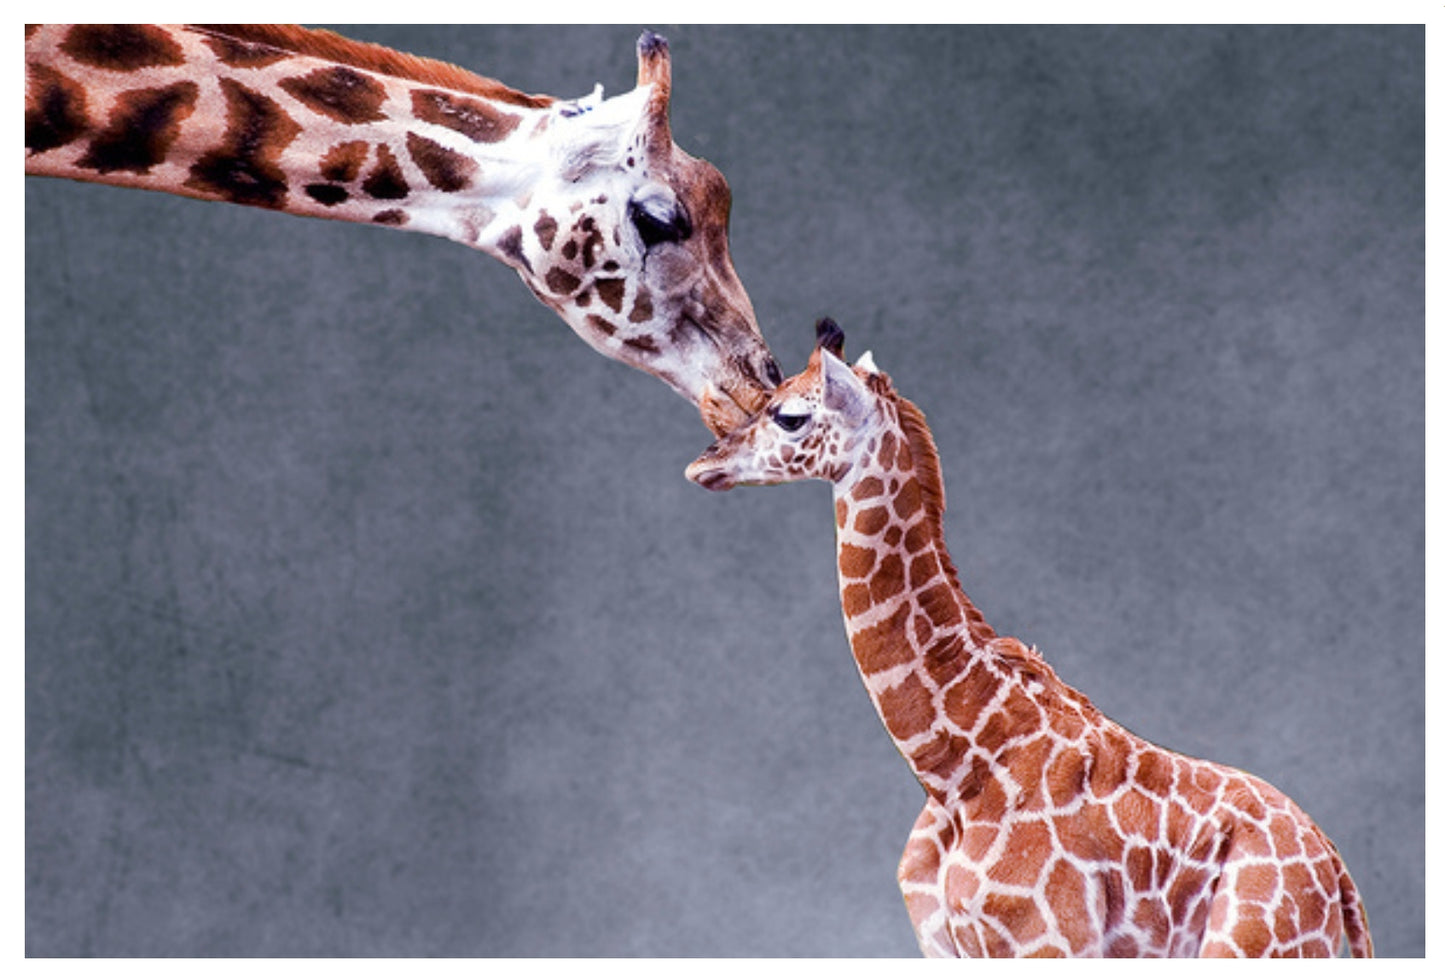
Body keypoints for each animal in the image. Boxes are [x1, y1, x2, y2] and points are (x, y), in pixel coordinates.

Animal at [685, 319, 1373, 958]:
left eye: (790, 415)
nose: (704, 462)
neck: (953, 767)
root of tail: (1335, 869)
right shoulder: (943, 943)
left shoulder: (1048, 940)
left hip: (1253, 943)